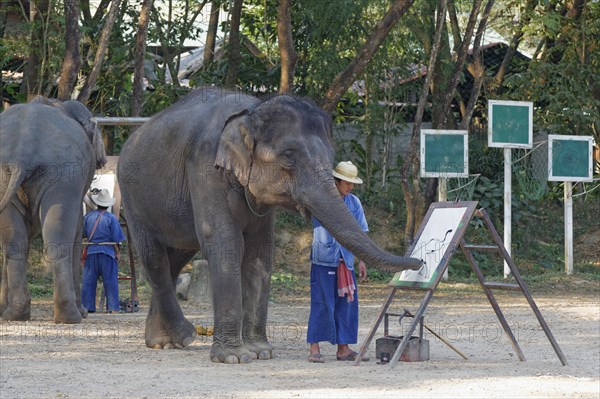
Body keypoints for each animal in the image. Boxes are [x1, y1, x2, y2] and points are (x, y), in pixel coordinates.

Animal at [0, 97, 106, 324]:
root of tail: (22, 150)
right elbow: (77, 229)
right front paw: (84, 312)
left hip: (12, 177)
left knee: (15, 240)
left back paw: (15, 315)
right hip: (64, 173)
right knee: (58, 237)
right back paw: (71, 316)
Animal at [115, 86, 420, 362]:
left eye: (332, 157)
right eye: (288, 156)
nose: (419, 262)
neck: (251, 112)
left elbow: (259, 252)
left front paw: (262, 353)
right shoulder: (204, 167)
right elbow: (225, 242)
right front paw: (234, 357)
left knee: (176, 258)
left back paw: (162, 342)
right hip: (133, 198)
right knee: (154, 257)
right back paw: (185, 336)